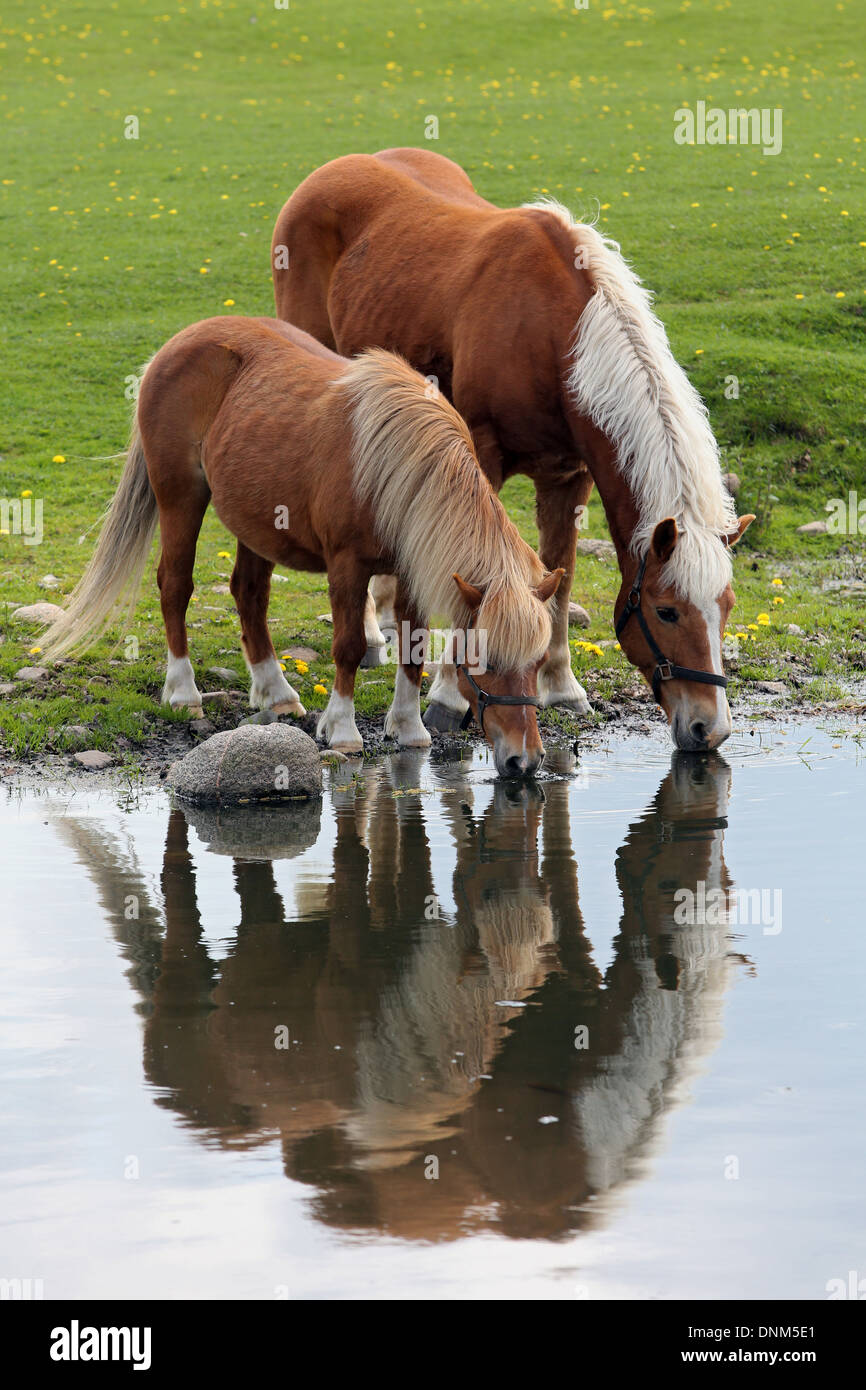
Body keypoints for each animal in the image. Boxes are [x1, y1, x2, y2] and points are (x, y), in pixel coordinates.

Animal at [273, 150, 756, 750]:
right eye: (666, 612)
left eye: (726, 606)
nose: (709, 727)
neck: (554, 335)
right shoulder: (480, 455)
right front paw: (449, 697)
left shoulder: (570, 476)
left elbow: (560, 578)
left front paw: (561, 686)